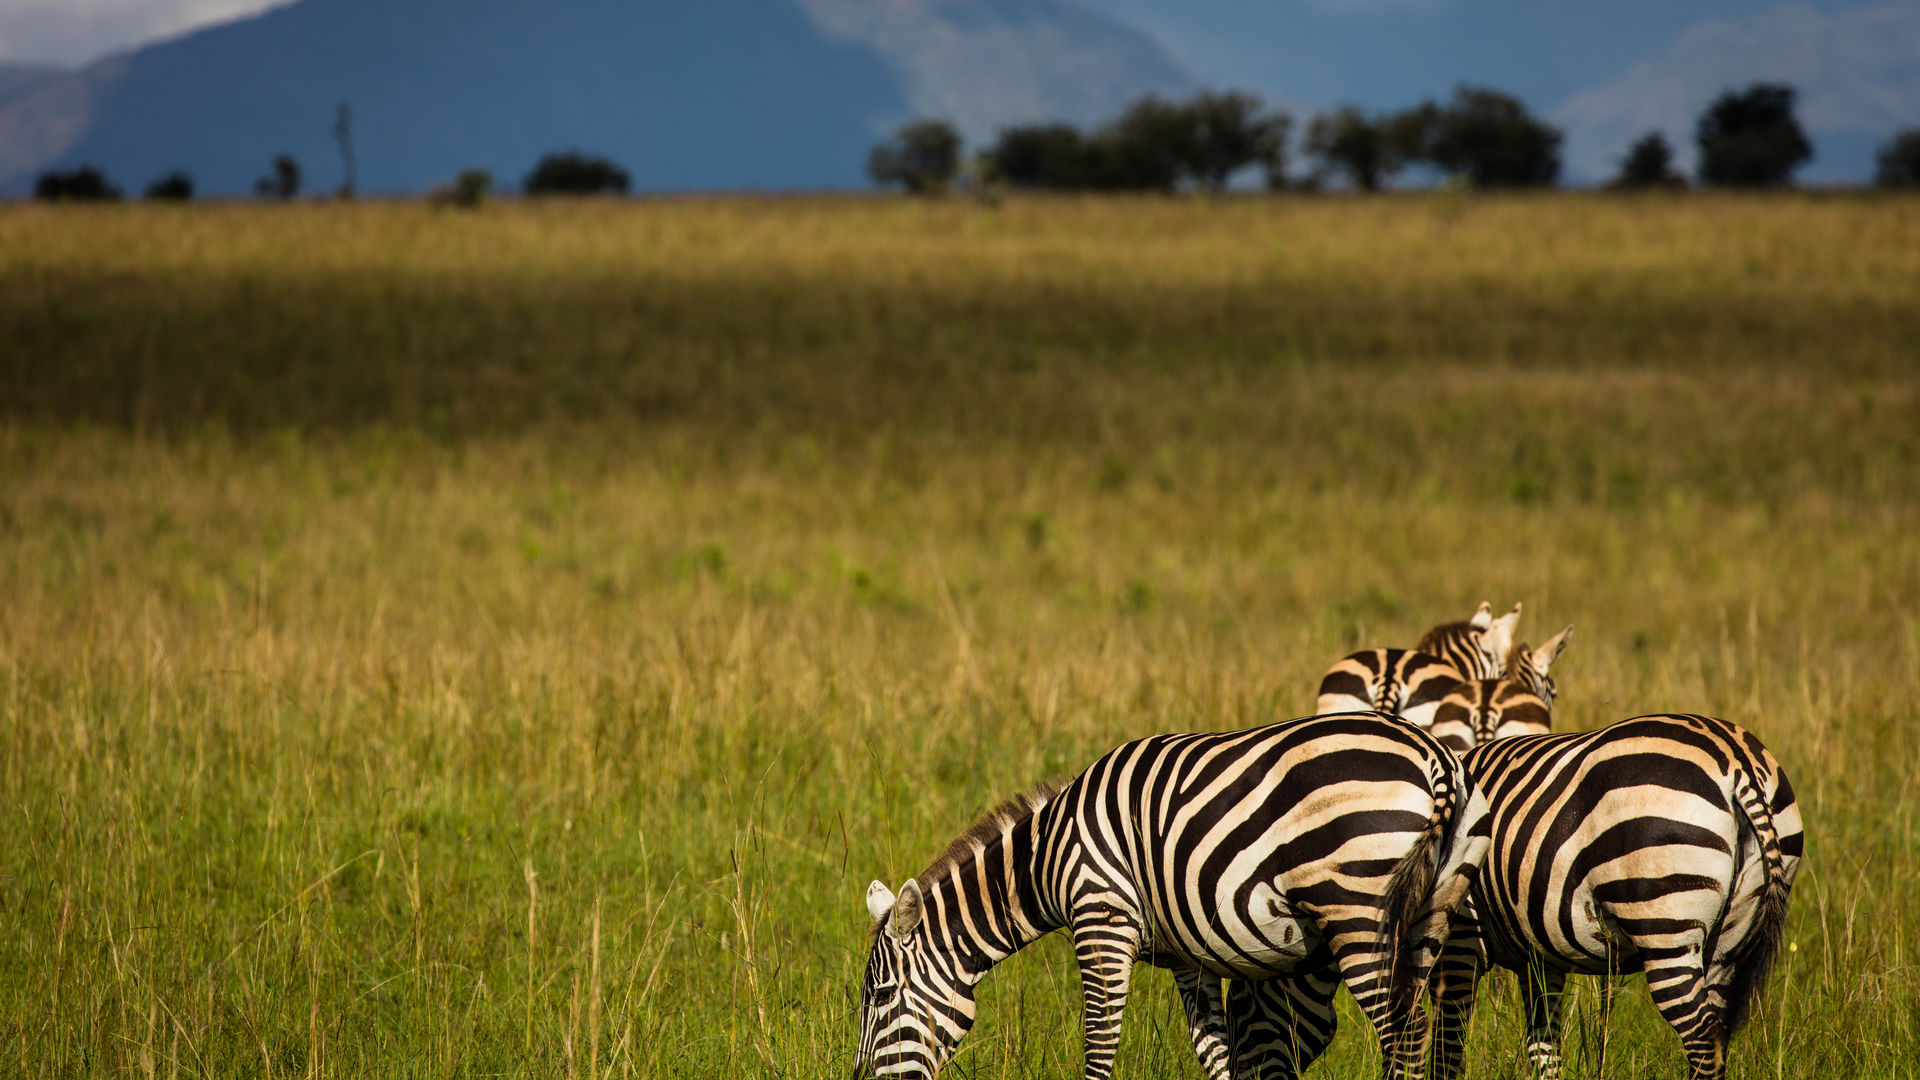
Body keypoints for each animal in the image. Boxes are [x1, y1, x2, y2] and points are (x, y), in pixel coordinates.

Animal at [856, 711, 1497, 1068]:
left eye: (880, 996)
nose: (859, 1077)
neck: (1045, 857)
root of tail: (1436, 757)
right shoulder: (1191, 955)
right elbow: (1213, 1051)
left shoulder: (1101, 922)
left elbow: (1099, 1042)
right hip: (1431, 912)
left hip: (1356, 910)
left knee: (1402, 1032)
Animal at [1420, 707, 1804, 1076]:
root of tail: (1737, 759)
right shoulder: (1539, 957)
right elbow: (1544, 1048)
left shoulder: (1460, 941)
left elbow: (1446, 1049)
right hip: (1730, 940)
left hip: (1665, 920)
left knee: (1702, 1040)